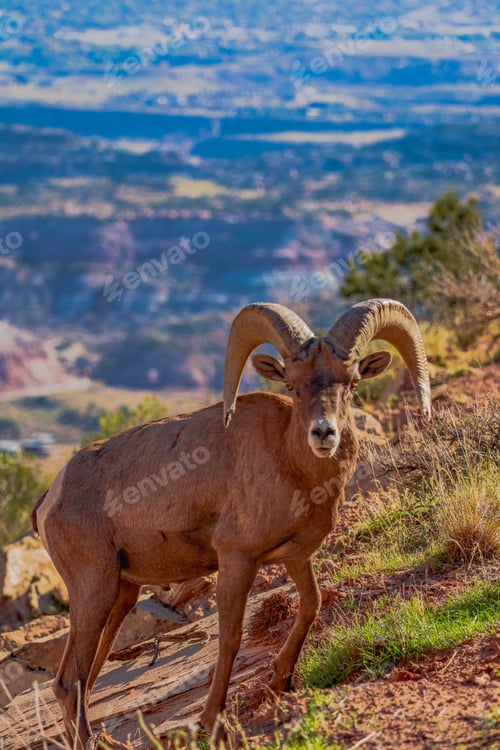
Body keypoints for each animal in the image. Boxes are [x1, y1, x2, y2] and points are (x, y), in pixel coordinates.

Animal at [33, 298, 431, 748]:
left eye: (351, 383)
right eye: (292, 385)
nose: (323, 434)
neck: (291, 466)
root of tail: (50, 499)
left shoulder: (296, 558)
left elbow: (311, 604)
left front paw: (281, 682)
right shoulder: (237, 560)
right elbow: (230, 639)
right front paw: (211, 722)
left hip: (120, 596)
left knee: (84, 678)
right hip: (93, 590)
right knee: (69, 682)